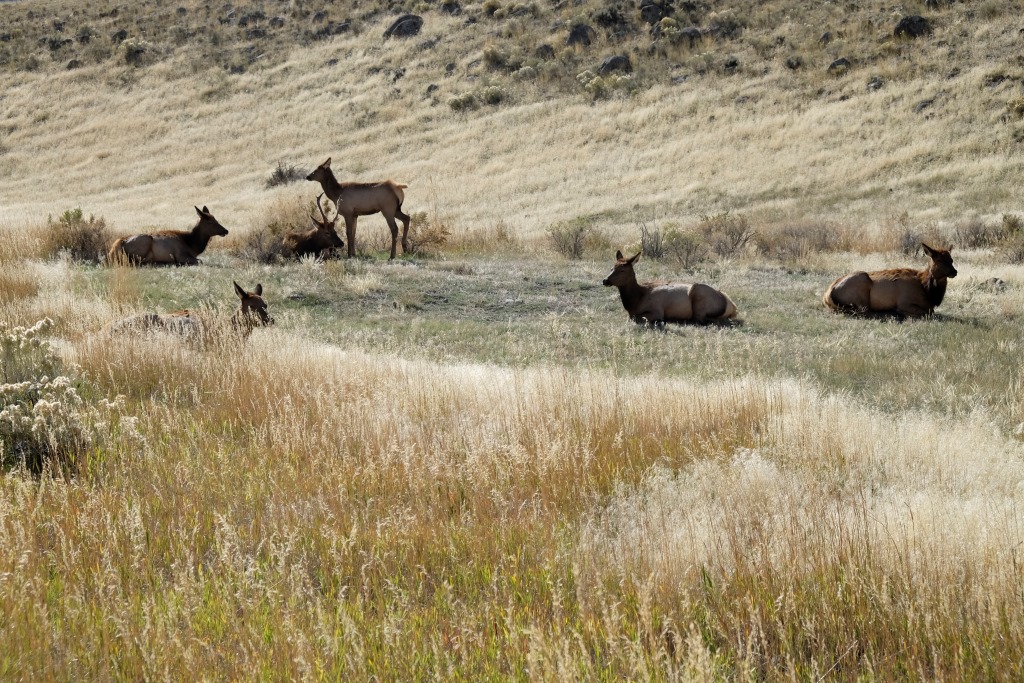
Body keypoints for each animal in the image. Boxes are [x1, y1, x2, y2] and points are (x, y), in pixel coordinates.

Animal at [602, 250, 737, 326]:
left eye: (622, 270)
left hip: (699, 296)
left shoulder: (657, 311)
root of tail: (732, 306)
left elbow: (639, 317)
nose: (605, 280)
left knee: (701, 320)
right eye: (611, 267)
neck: (635, 301)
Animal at [823, 243, 957, 318]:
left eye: (951, 259)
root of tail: (827, 295)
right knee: (865, 311)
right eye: (938, 260)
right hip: (861, 283)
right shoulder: (905, 302)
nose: (954, 272)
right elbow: (928, 312)